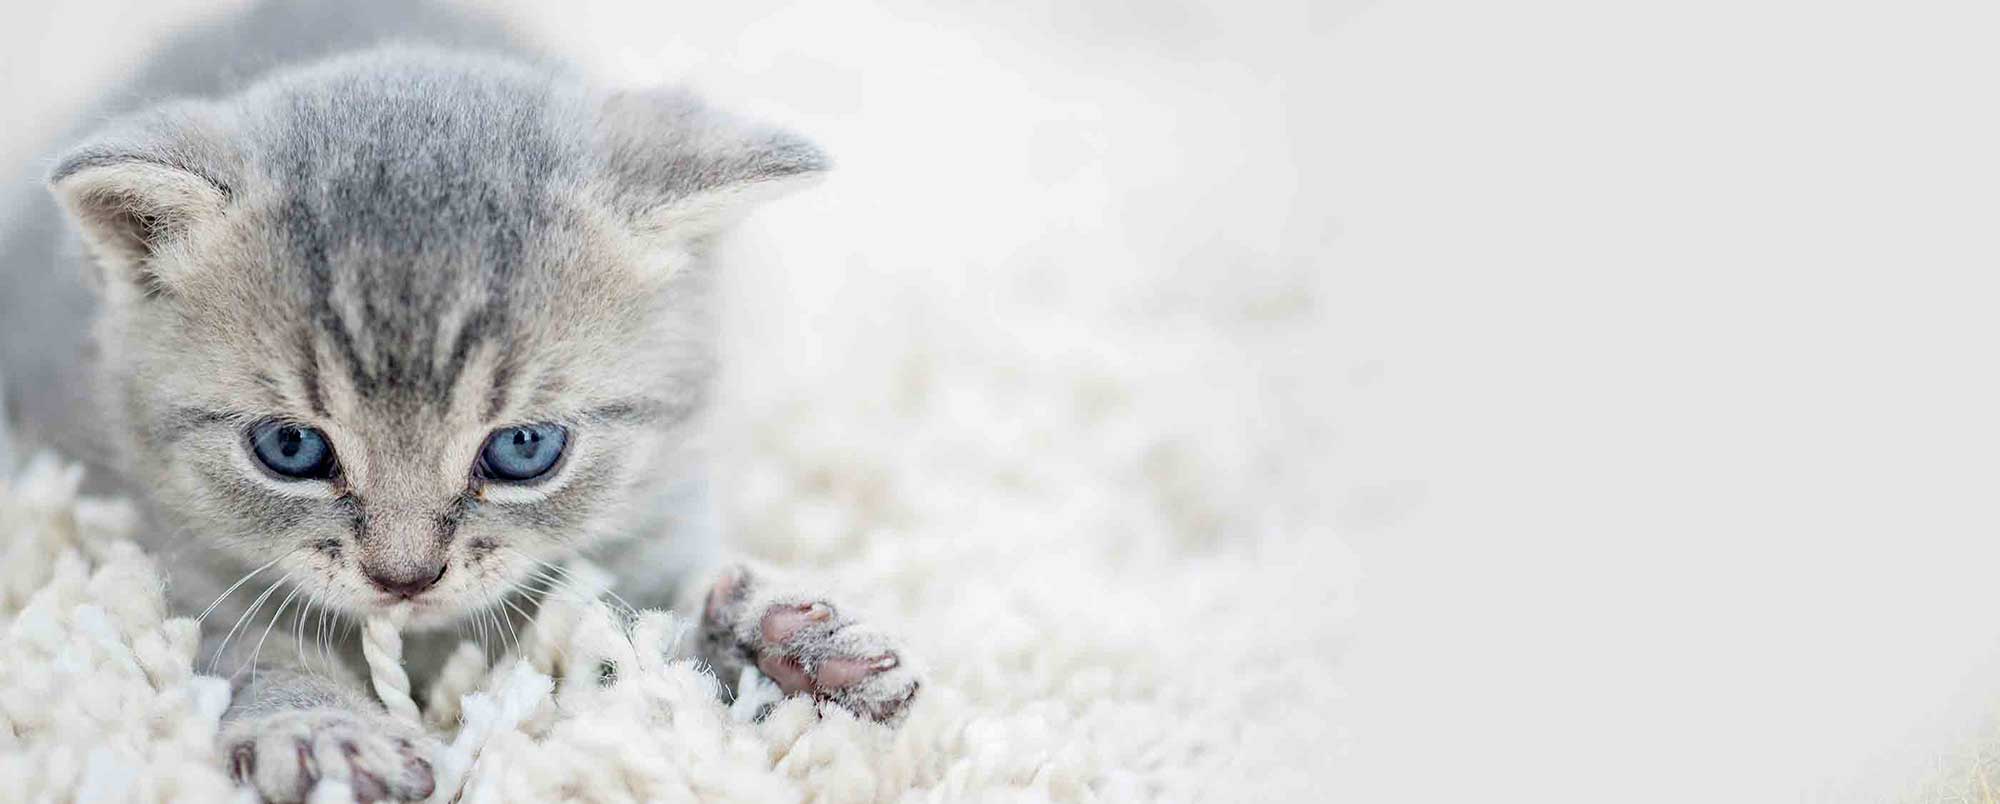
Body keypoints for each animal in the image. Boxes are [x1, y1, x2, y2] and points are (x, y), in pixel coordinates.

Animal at [0, 3, 920, 800]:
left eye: (524, 449)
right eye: (291, 449)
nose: (404, 576)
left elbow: (648, 627)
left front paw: (779, 641)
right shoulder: (175, 560)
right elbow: (248, 646)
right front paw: (316, 725)